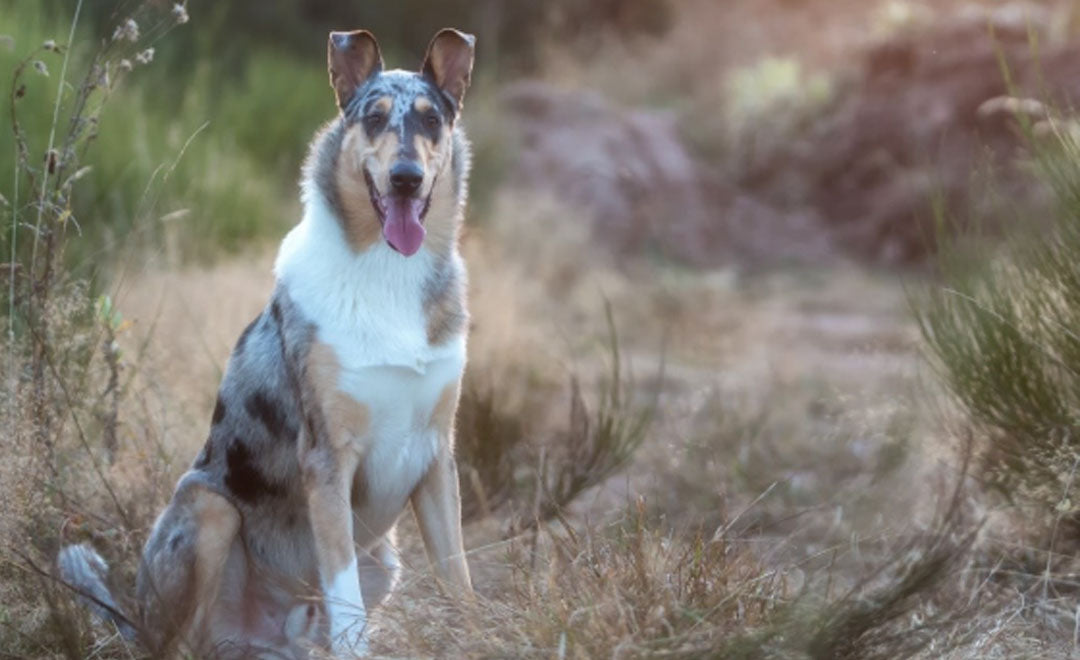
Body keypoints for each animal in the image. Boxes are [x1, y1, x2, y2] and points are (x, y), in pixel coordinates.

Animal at [60, 24, 477, 656]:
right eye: (375, 118)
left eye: (431, 120)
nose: (405, 177)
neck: (388, 273)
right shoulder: (328, 461)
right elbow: (345, 598)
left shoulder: (435, 458)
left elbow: (460, 579)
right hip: (208, 510)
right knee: (179, 643)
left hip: (385, 560)